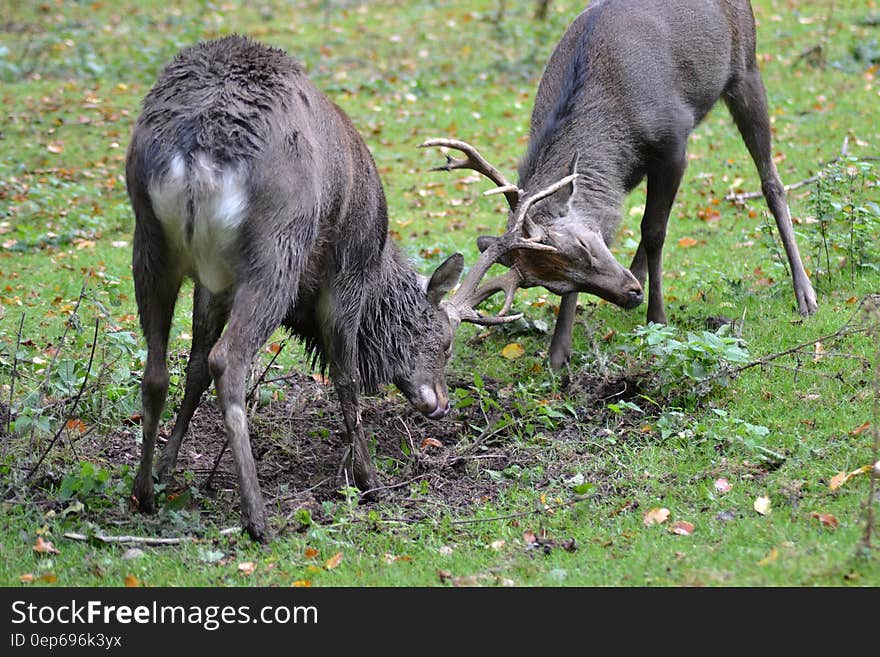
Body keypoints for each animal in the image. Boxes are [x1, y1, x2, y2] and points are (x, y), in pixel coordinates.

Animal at [123, 33, 544, 540]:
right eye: (445, 343)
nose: (441, 404)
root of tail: (198, 155)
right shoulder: (347, 274)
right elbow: (346, 376)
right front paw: (368, 480)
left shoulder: (213, 285)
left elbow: (193, 369)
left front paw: (167, 466)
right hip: (277, 249)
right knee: (229, 360)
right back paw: (258, 518)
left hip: (149, 241)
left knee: (157, 371)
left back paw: (144, 493)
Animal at [424, 0, 820, 368]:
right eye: (557, 284)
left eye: (584, 245)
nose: (630, 294)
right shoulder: (624, 174)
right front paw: (558, 354)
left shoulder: (674, 141)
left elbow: (654, 230)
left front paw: (657, 318)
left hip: (746, 67)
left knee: (771, 181)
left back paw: (805, 294)